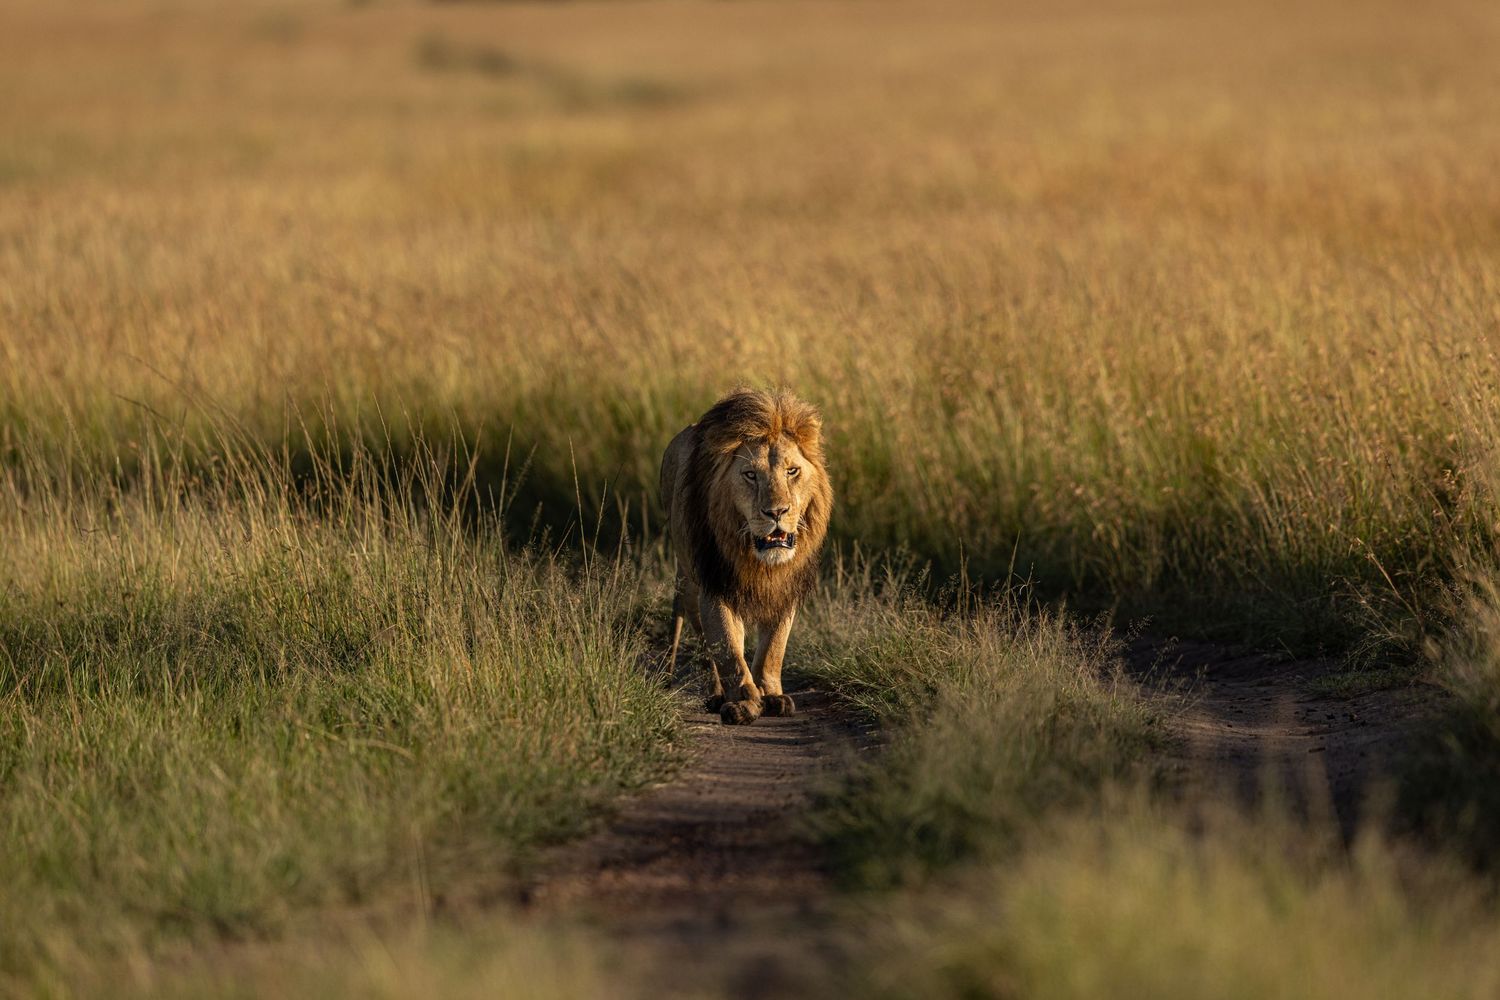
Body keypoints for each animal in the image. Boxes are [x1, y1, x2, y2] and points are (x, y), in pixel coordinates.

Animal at [659, 388, 834, 725]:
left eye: (792, 471)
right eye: (750, 475)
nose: (776, 512)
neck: (758, 561)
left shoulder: (784, 590)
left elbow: (773, 648)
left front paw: (771, 694)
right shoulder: (716, 584)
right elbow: (728, 648)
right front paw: (743, 702)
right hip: (687, 570)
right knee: (687, 618)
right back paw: (684, 682)